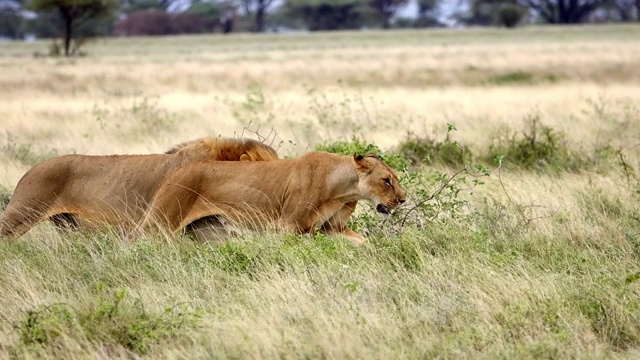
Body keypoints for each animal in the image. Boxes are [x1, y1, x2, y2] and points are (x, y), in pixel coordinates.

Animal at [142, 152, 408, 245]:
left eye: (393, 178)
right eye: (386, 180)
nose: (403, 200)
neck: (342, 190)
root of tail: (173, 173)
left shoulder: (332, 228)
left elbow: (364, 243)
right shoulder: (289, 227)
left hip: (207, 231)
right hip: (160, 224)